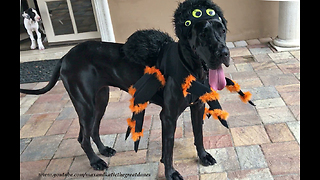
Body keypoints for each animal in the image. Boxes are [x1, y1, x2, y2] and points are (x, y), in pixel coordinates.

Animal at [19, 0, 245, 179]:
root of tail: (65, 57)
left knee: (93, 130)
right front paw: (171, 173)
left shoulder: (197, 106)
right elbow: (169, 149)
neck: (191, 66)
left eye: (222, 30)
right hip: (86, 105)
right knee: (83, 137)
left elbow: (198, 135)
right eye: (203, 33)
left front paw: (203, 156)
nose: (224, 53)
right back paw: (95, 162)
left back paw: (104, 150)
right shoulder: (168, 116)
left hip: (100, 100)